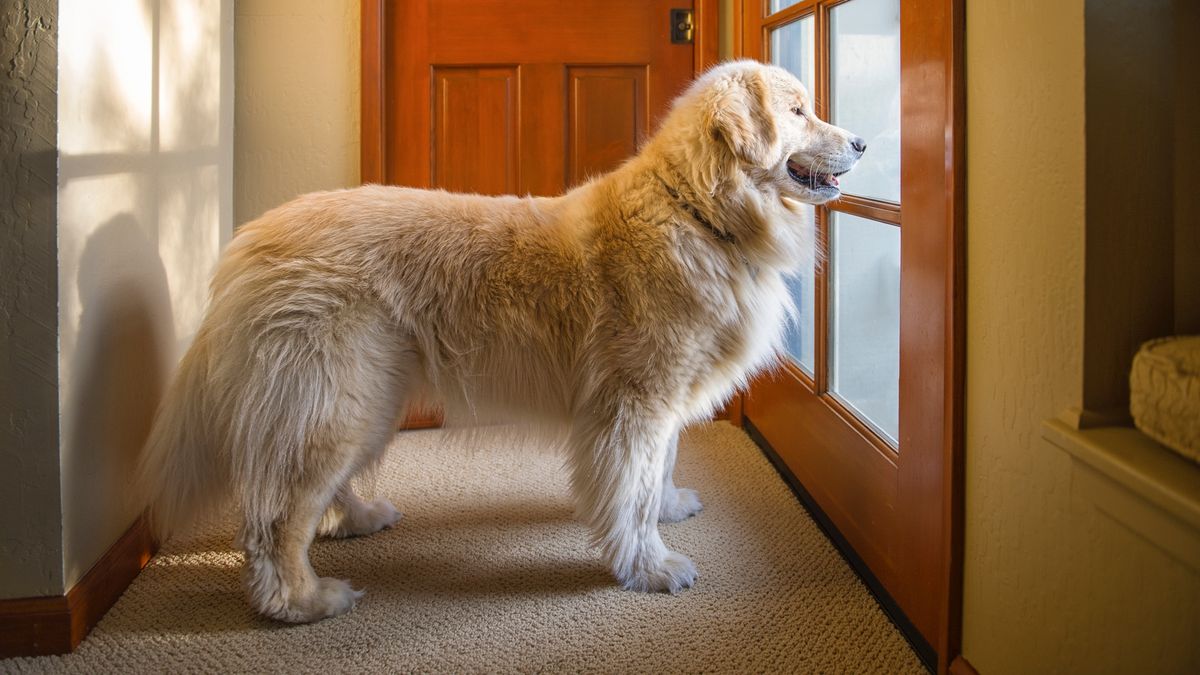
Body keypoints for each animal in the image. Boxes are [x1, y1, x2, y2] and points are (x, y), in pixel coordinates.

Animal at [136, 60, 864, 624]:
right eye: (798, 111)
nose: (859, 142)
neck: (699, 212)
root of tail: (248, 242)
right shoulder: (635, 404)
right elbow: (630, 494)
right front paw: (650, 567)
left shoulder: (660, 406)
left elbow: (657, 471)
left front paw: (668, 507)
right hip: (336, 404)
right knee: (273, 520)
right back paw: (302, 601)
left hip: (362, 401)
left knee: (313, 497)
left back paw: (360, 517)